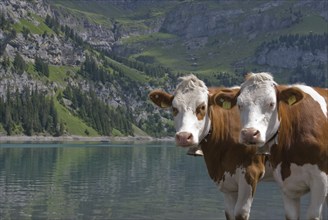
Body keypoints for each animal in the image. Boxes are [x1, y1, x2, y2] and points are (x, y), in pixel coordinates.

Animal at [149, 75, 270, 219]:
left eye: (202, 107)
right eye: (174, 109)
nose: (184, 137)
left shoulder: (251, 172)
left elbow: (240, 213)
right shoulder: (226, 180)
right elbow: (230, 213)